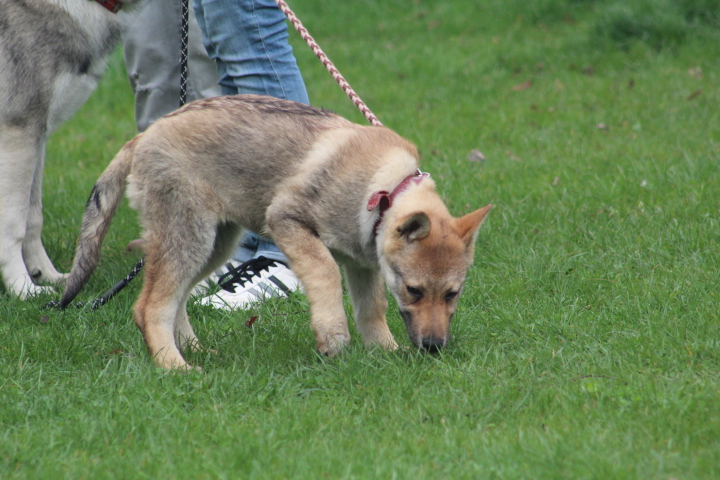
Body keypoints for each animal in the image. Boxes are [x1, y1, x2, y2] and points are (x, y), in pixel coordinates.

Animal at [62, 94, 492, 372]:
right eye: (414, 291)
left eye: (452, 294)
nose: (434, 349)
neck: (383, 190)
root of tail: (145, 136)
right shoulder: (287, 221)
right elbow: (326, 276)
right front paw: (333, 338)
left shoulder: (363, 263)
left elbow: (372, 309)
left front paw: (384, 351)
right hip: (190, 240)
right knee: (149, 307)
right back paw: (174, 366)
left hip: (213, 246)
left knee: (176, 301)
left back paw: (195, 351)